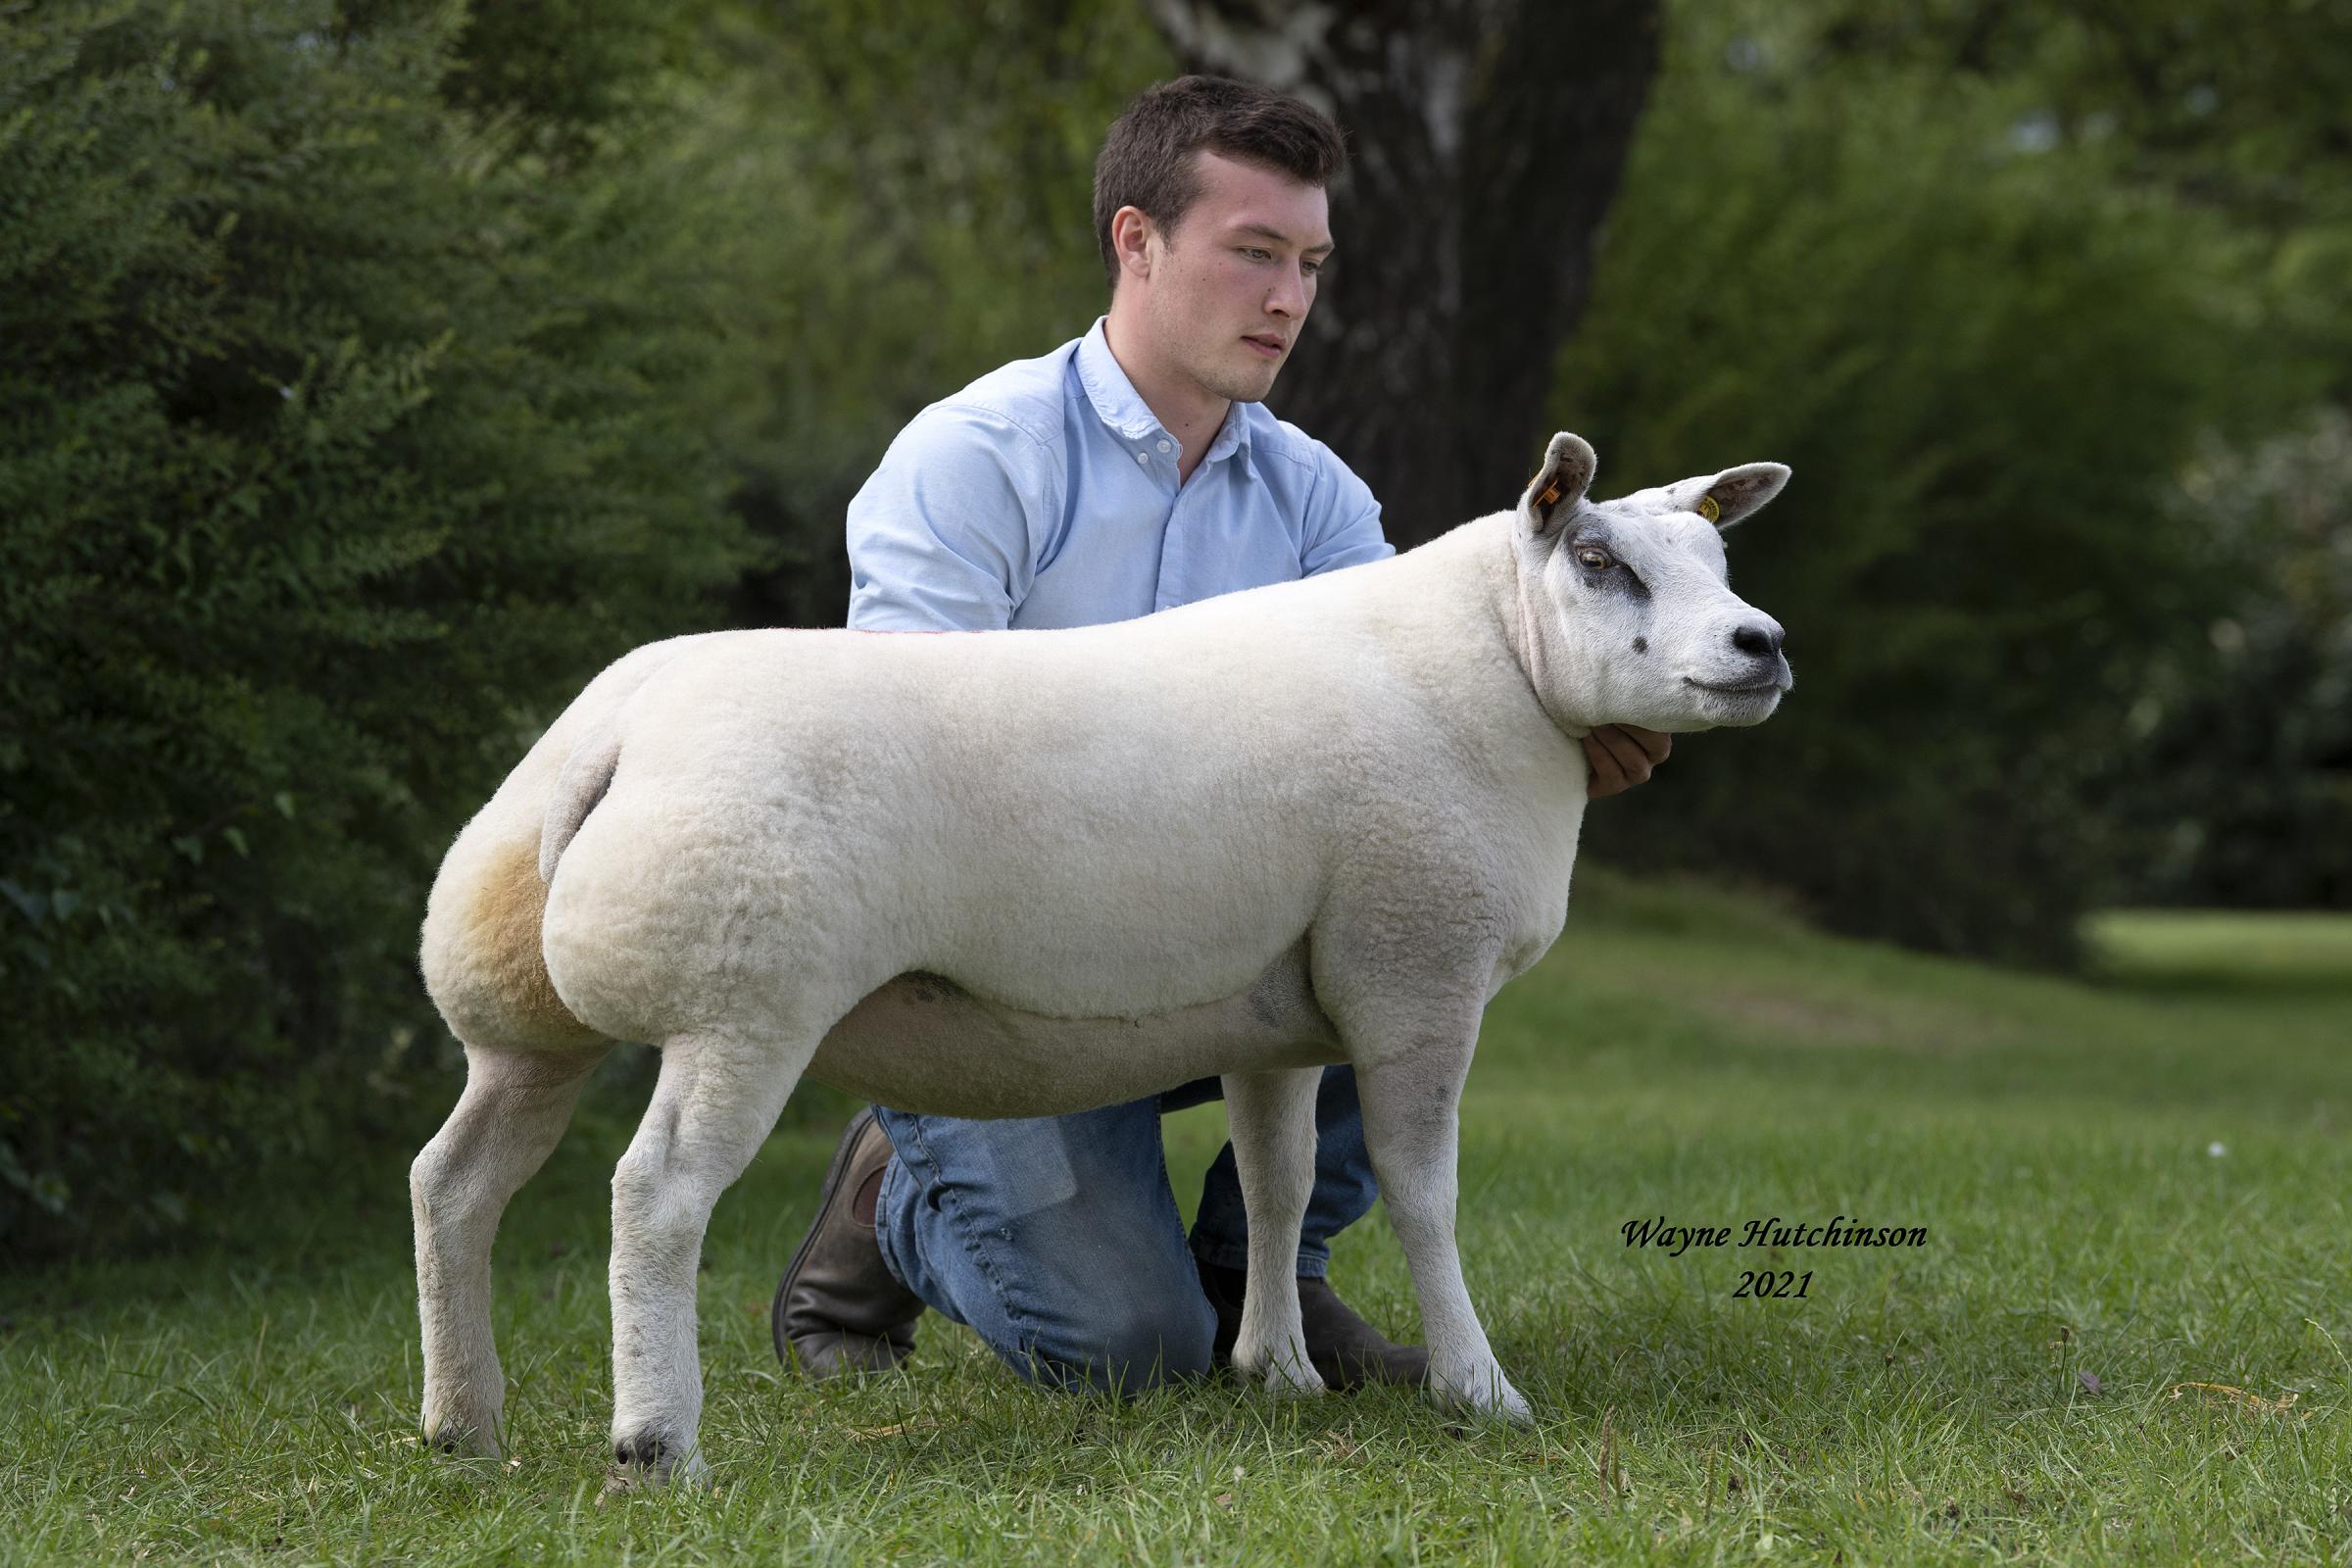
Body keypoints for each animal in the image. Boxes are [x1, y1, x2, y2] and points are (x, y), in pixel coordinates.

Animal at [409, 429, 1796, 1486]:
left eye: (1717, 557)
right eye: (1601, 563)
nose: (1761, 645)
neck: (1504, 660)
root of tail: (617, 733)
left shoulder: (1286, 1015)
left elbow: (1280, 1183)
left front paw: (1278, 1371)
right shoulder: (1415, 974)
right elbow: (1422, 1192)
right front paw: (1477, 1387)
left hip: (522, 1016)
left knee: (453, 1182)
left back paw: (464, 1422)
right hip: (738, 1001)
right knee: (653, 1200)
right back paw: (657, 1446)